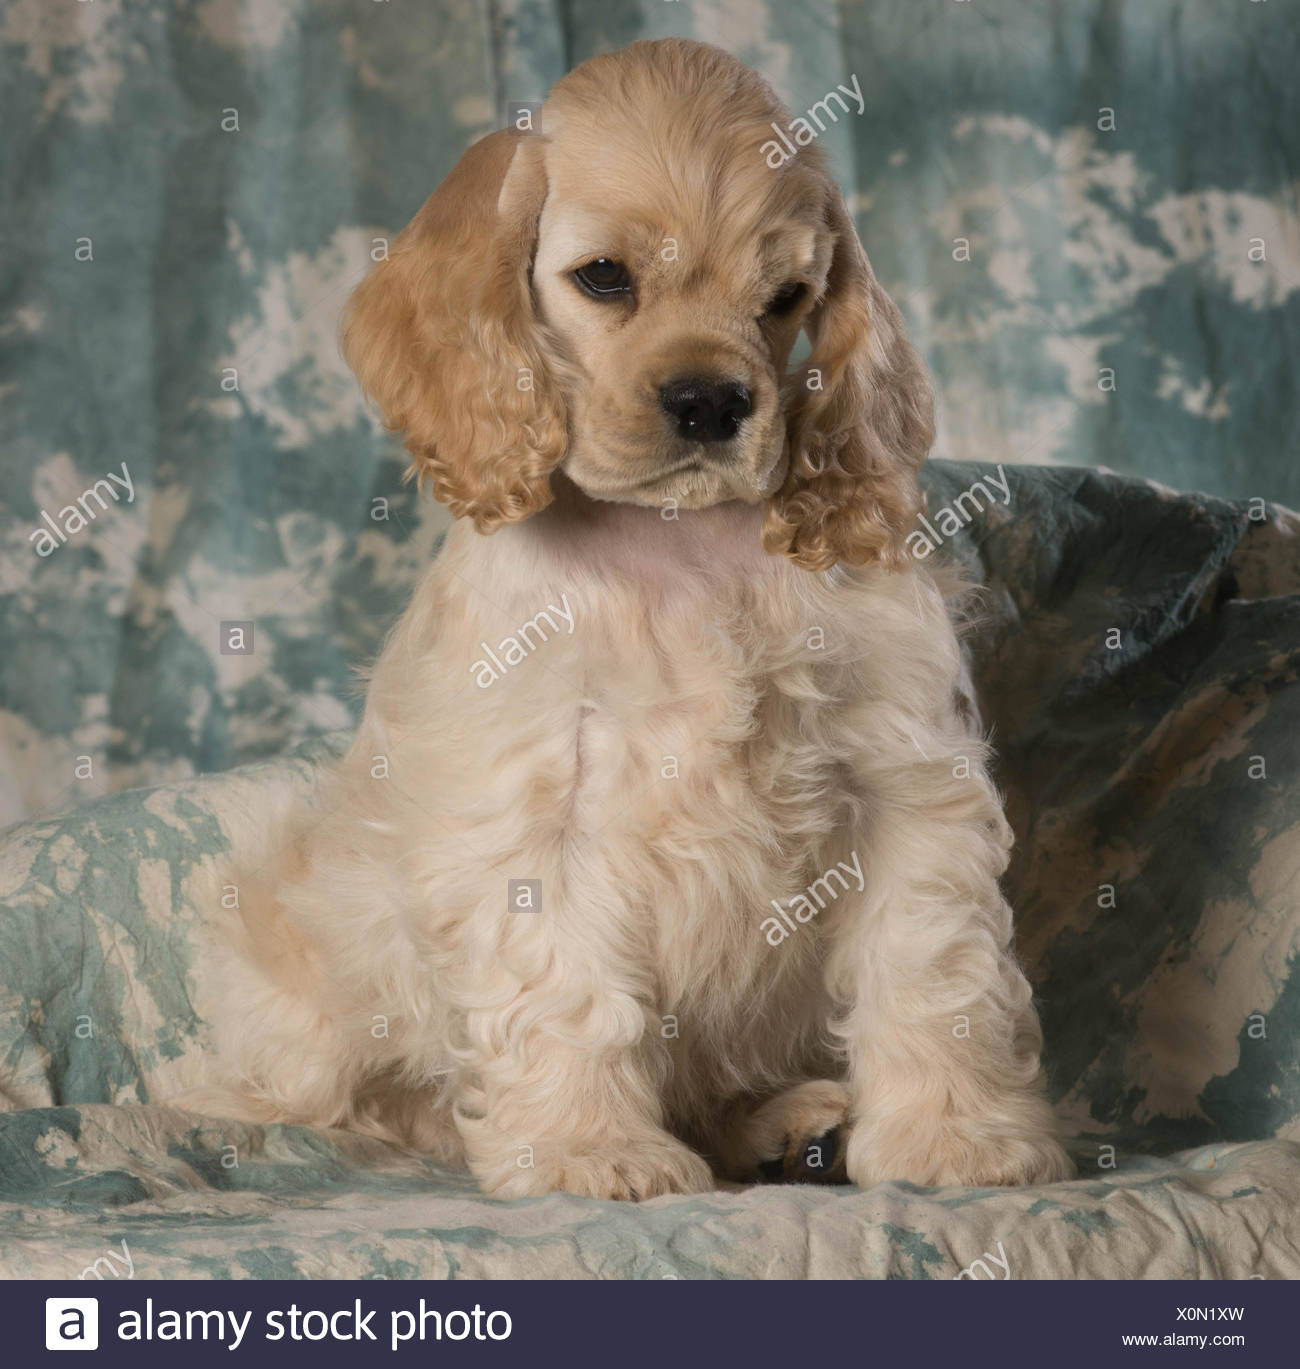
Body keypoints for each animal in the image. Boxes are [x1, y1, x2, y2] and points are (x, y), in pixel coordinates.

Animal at [190, 40, 1067, 1199]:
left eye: (788, 295)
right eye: (604, 277)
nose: (712, 403)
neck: (677, 540)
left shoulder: (902, 774)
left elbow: (934, 962)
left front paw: (955, 1137)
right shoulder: (534, 807)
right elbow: (564, 986)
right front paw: (587, 1151)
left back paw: (790, 1123)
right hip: (287, 959)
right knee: (343, 1094)